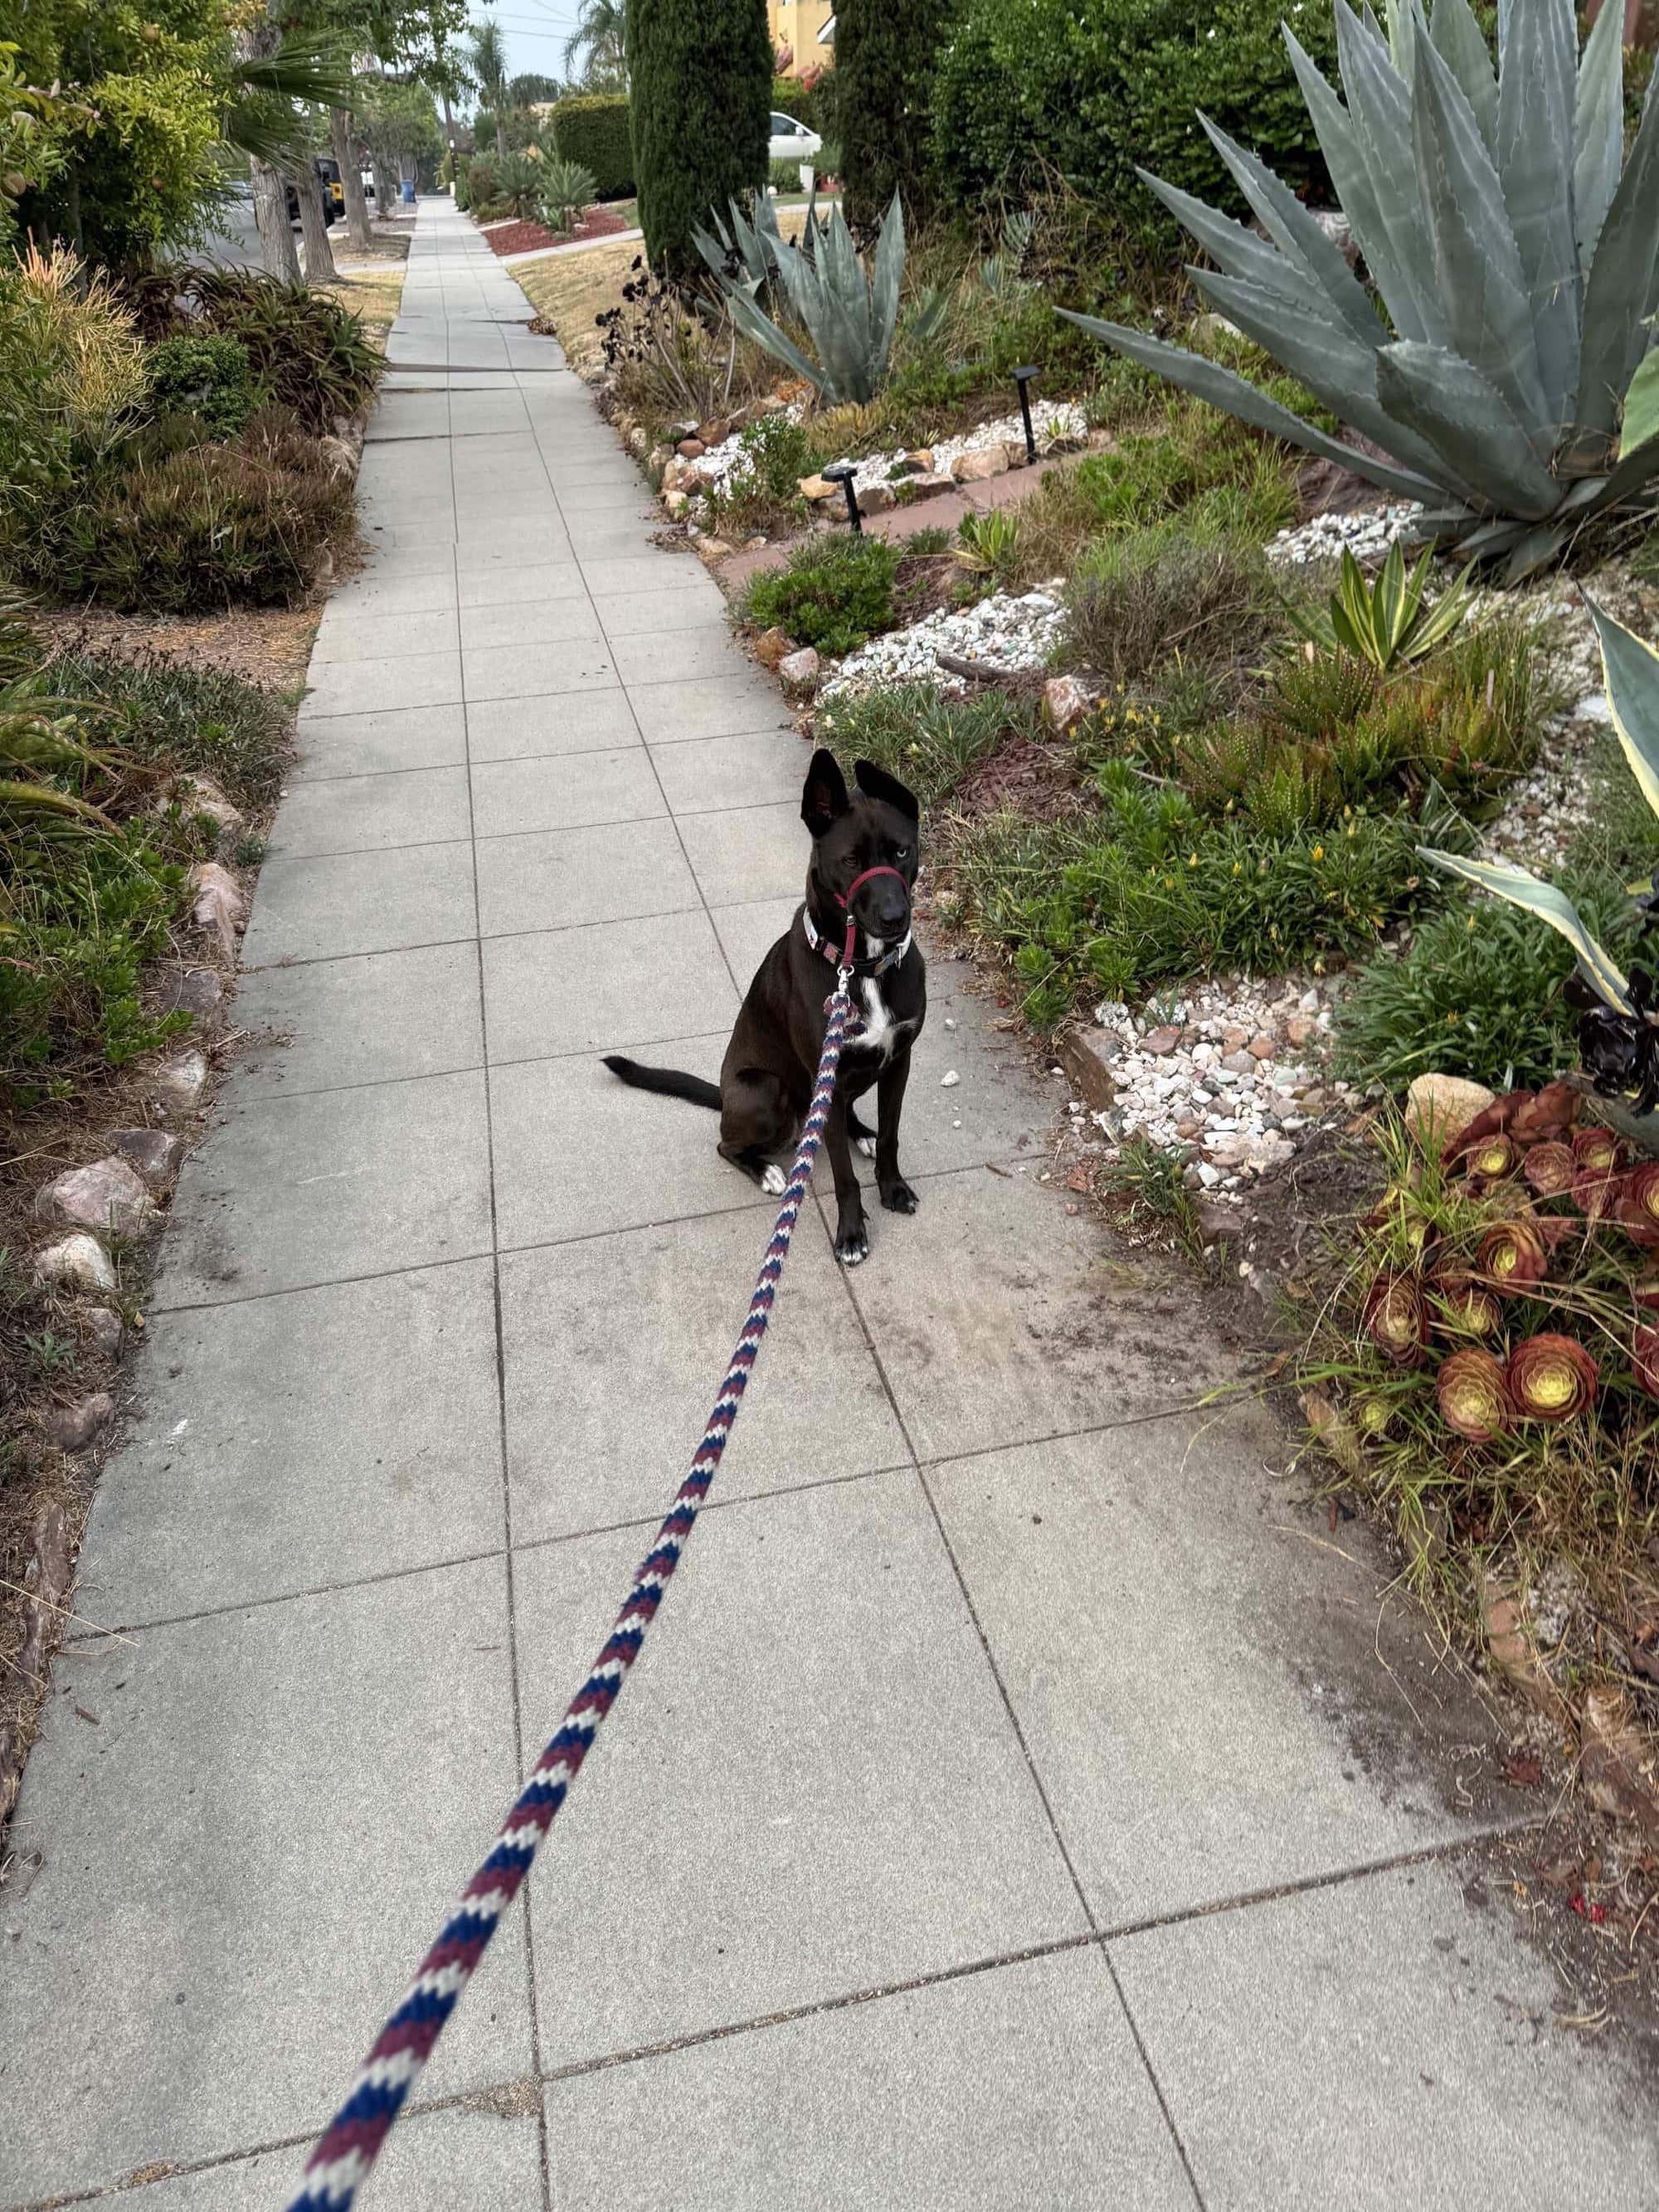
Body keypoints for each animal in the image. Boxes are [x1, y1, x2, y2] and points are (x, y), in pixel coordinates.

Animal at [606, 751, 929, 1265]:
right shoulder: (827, 1077)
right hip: (766, 1091)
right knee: (726, 1144)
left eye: (902, 852)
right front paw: (851, 1234)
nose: (895, 919)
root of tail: (723, 1096)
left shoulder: (899, 1061)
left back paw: (860, 1132)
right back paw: (768, 1171)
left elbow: (892, 1137)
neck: (860, 968)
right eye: (851, 860)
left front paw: (893, 1186)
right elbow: (844, 1178)